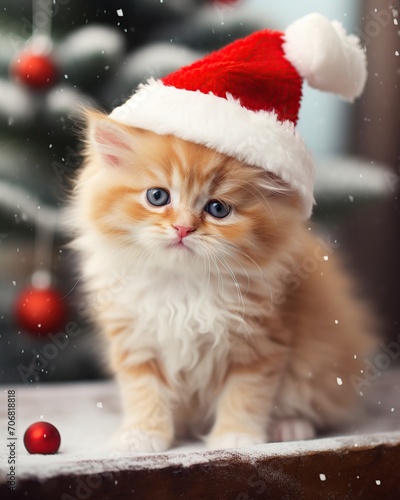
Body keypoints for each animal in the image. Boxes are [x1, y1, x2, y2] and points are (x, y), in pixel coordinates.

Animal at [69, 110, 376, 454]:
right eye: (157, 196)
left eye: (218, 209)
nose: (182, 228)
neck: (182, 286)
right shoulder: (134, 338)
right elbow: (144, 391)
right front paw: (142, 435)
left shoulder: (259, 342)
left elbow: (245, 393)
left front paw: (236, 435)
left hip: (318, 365)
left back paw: (290, 425)